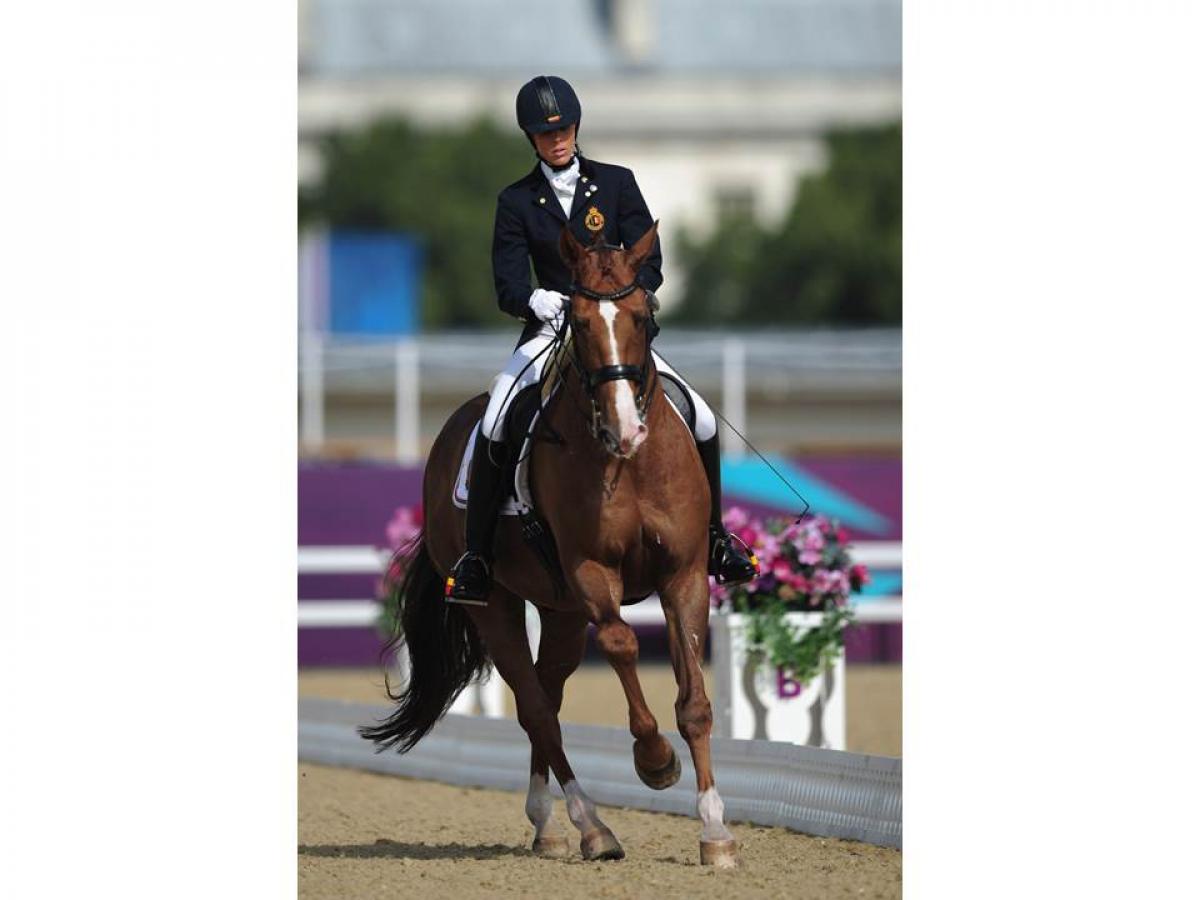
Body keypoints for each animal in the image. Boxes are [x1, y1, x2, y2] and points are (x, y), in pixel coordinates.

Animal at [357, 222, 739, 868]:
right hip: (496, 605)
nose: (626, 431)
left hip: (558, 610)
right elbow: (621, 645)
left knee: (549, 695)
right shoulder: (592, 572)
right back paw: (592, 827)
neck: (627, 465)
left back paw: (550, 824)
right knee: (536, 706)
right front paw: (654, 760)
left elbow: (695, 701)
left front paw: (715, 833)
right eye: (579, 323)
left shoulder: (683, 574)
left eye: (643, 316)